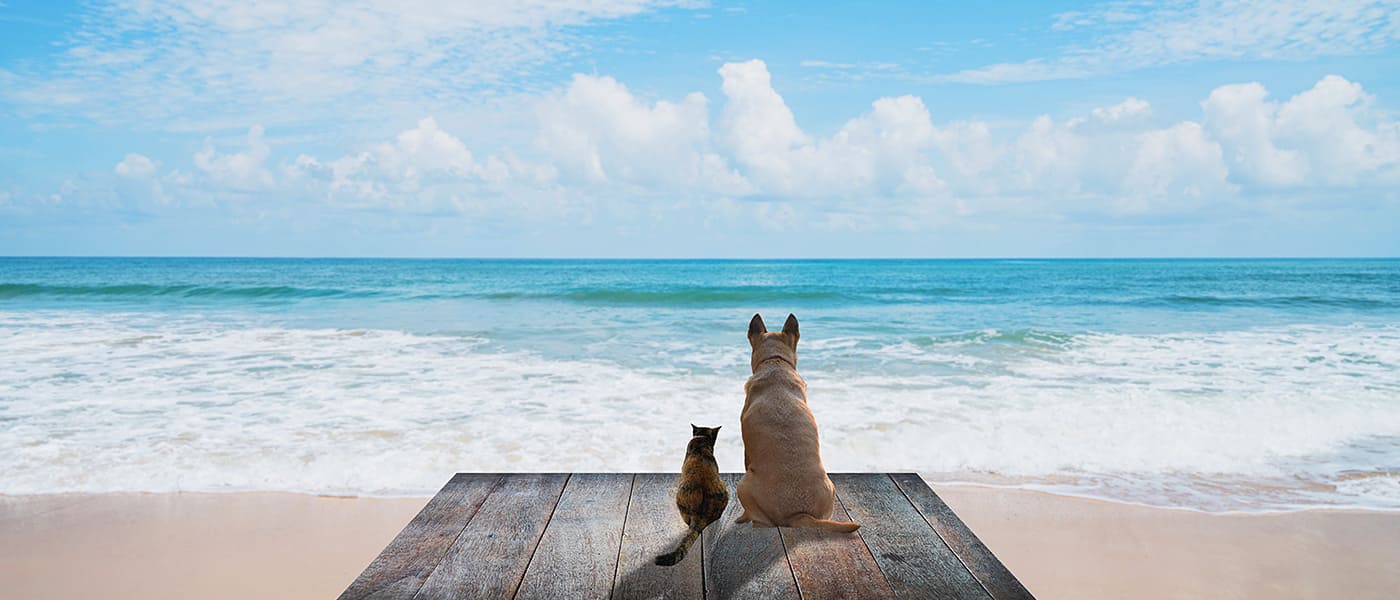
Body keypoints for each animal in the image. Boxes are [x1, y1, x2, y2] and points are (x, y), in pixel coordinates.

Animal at [733, 310, 851, 531]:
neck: (775, 362)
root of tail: (800, 514)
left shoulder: (746, 452)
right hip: (830, 488)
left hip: (742, 485)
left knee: (759, 520)